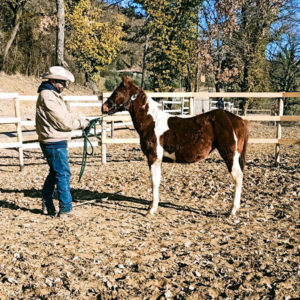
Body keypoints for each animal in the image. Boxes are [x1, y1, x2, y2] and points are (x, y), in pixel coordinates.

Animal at [103, 76, 248, 214]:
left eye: (117, 92)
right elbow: (157, 181)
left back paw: (232, 210)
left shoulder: (153, 157)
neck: (151, 122)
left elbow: (154, 182)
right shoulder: (158, 159)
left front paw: (151, 209)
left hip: (230, 155)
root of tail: (238, 120)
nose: (103, 107)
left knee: (238, 177)